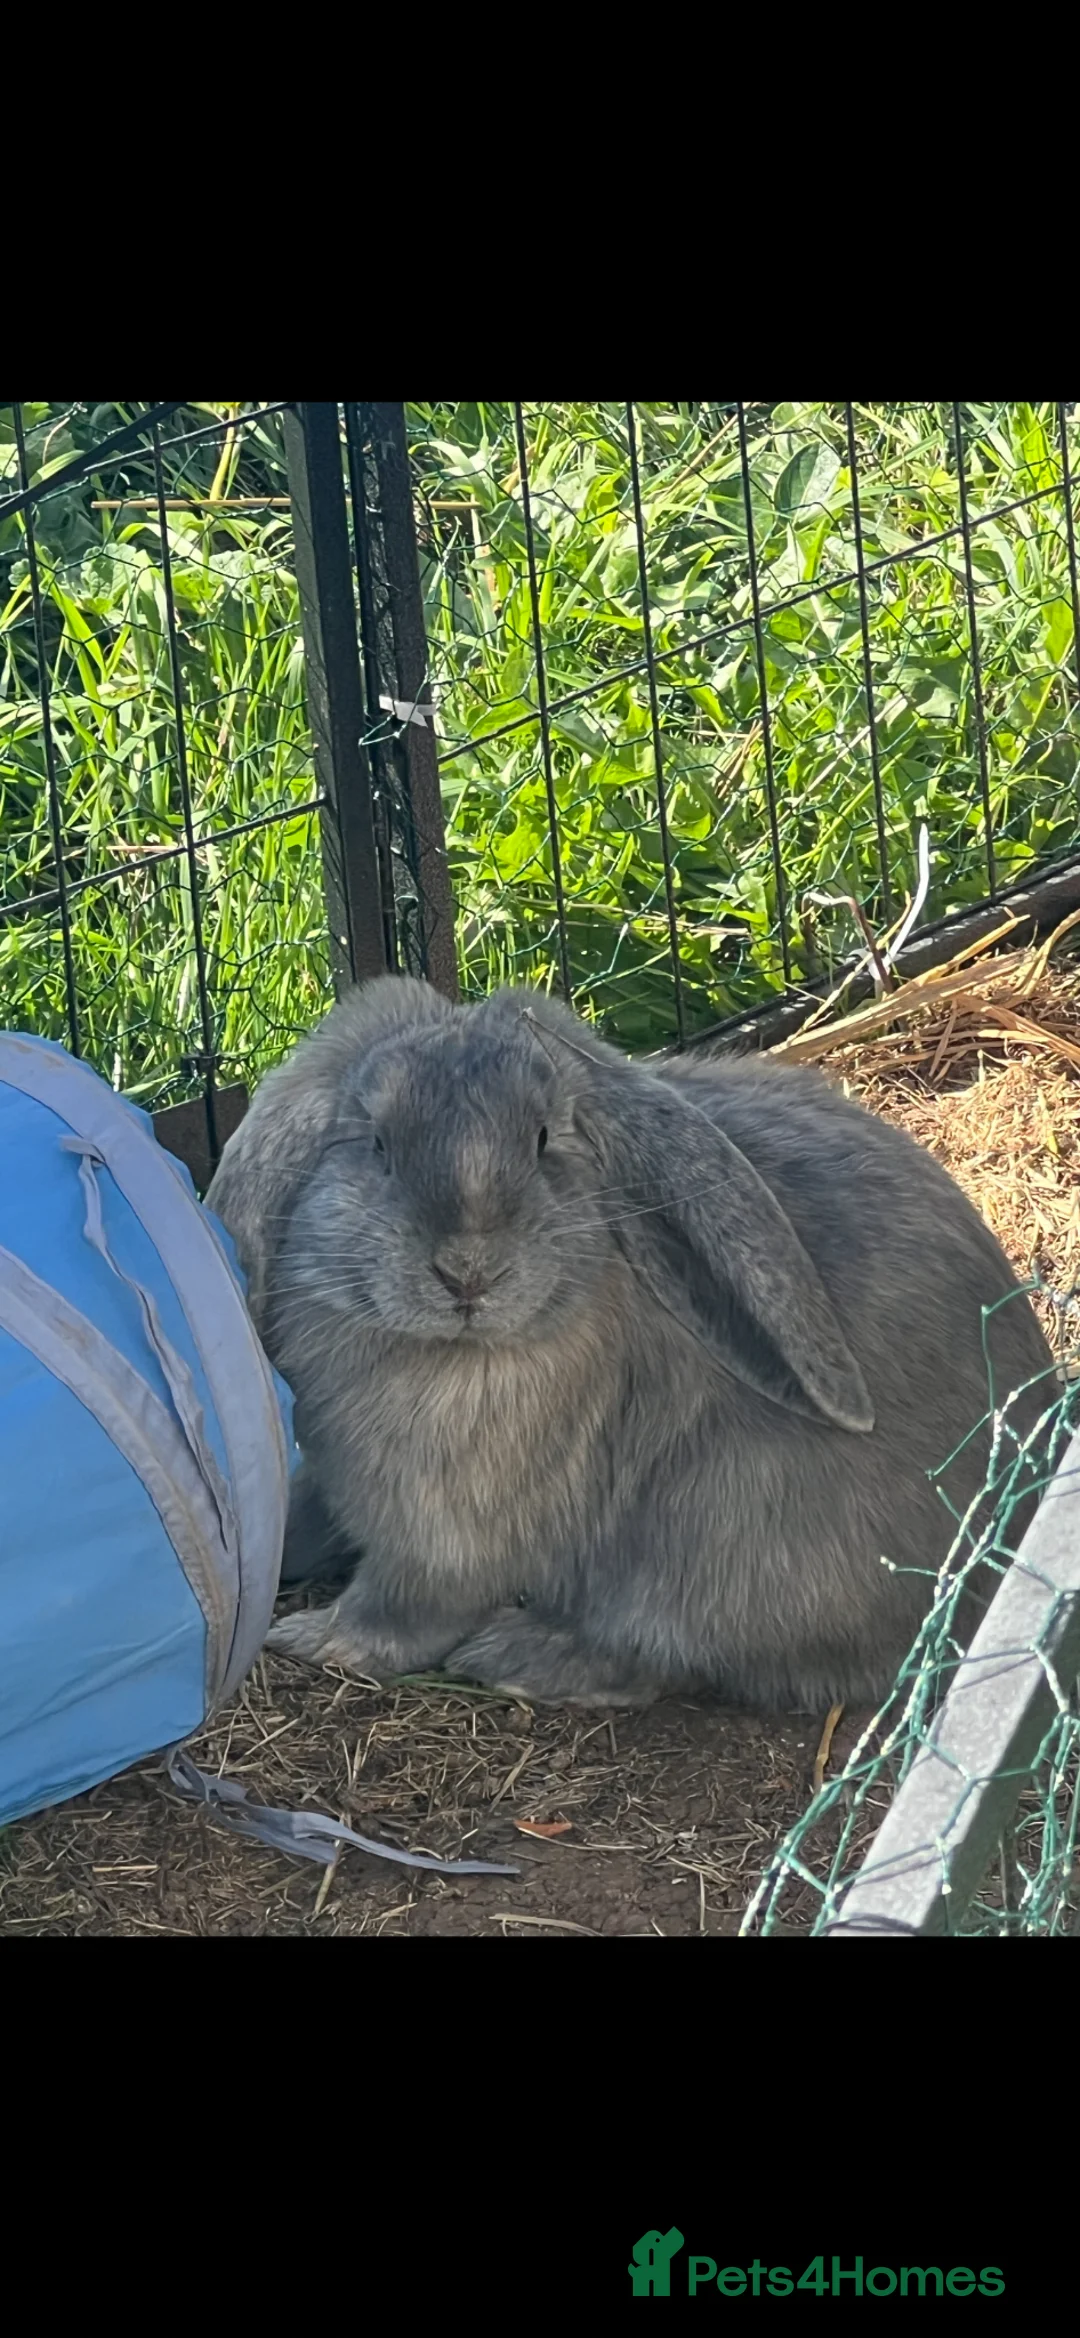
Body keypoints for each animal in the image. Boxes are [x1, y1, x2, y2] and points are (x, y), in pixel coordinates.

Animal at [206, 974, 1054, 1711]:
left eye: (543, 1140)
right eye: (377, 1145)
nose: (468, 1272)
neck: (460, 1355)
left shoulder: (439, 1544)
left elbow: (403, 1611)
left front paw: (311, 1639)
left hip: (709, 1547)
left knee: (663, 1657)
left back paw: (518, 1655)